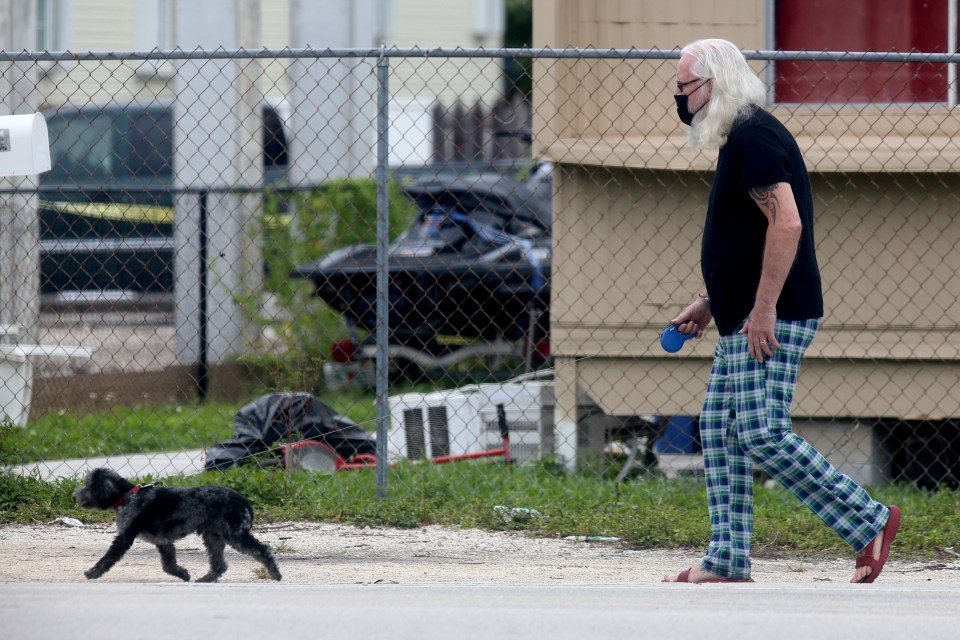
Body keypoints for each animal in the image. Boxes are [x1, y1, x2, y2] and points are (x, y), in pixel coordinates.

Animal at [72, 468, 282, 584]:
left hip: (235, 534)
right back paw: (206, 579)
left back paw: (275, 573)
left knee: (263, 550)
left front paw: (93, 573)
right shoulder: (163, 541)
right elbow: (168, 565)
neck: (128, 495)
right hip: (213, 537)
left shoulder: (124, 537)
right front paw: (183, 574)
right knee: (219, 564)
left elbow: (107, 558)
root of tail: (243, 501)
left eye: (88, 485)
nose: (74, 495)